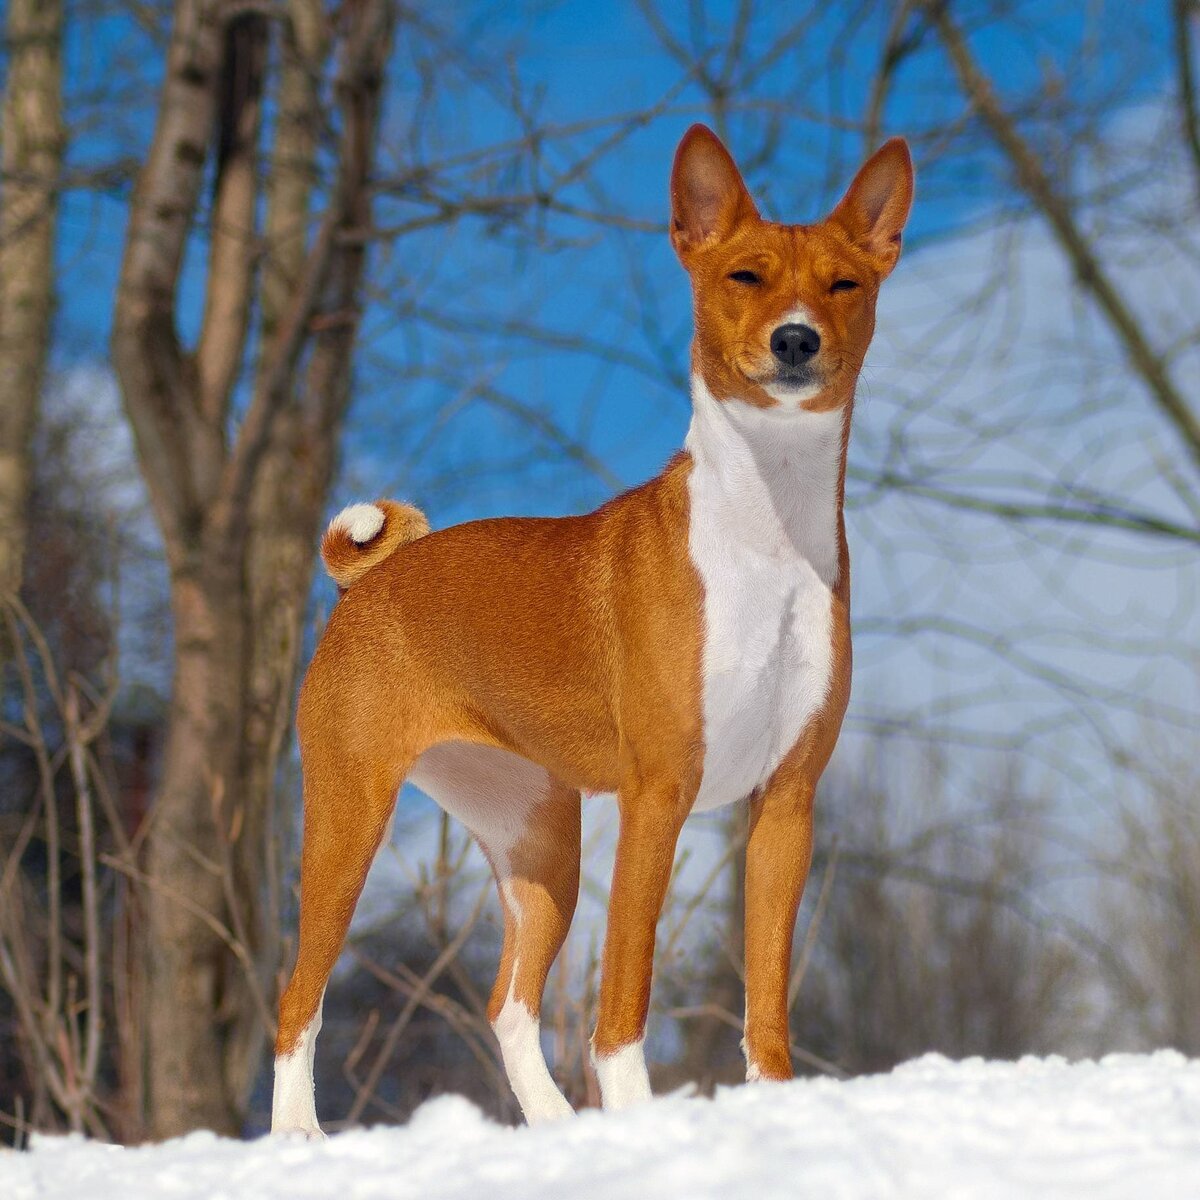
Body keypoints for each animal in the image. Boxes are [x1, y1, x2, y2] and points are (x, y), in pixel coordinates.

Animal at [270, 121, 907, 1132]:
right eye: (745, 276)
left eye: (844, 284)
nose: (797, 340)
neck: (765, 533)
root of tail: (370, 578)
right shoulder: (658, 794)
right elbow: (623, 1004)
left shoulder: (786, 803)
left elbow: (766, 1004)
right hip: (347, 819)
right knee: (299, 999)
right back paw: (297, 1135)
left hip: (540, 844)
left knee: (508, 1006)